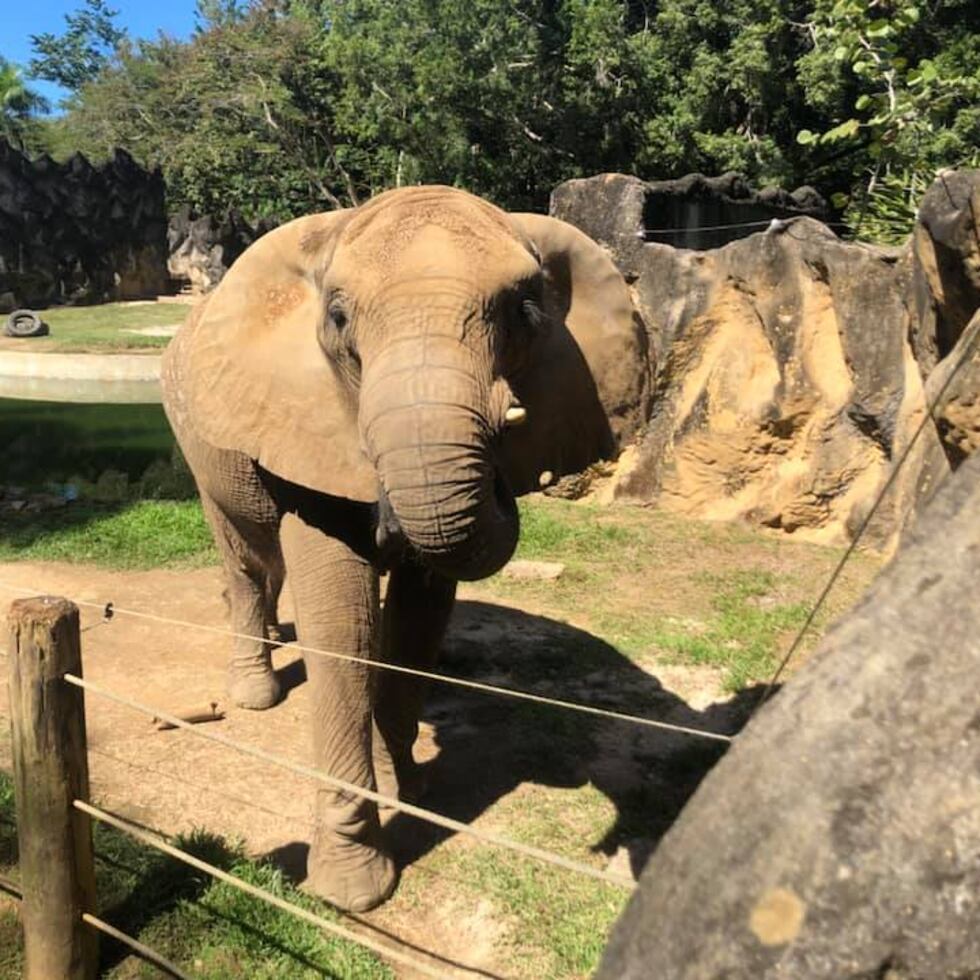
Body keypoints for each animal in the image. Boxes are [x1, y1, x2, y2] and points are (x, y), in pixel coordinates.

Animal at [161, 184, 652, 912]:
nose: (510, 463)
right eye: (338, 317)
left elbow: (415, 621)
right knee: (245, 554)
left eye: (524, 311)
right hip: (196, 433)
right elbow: (344, 628)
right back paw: (255, 691)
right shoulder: (308, 417)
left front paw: (413, 789)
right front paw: (354, 891)